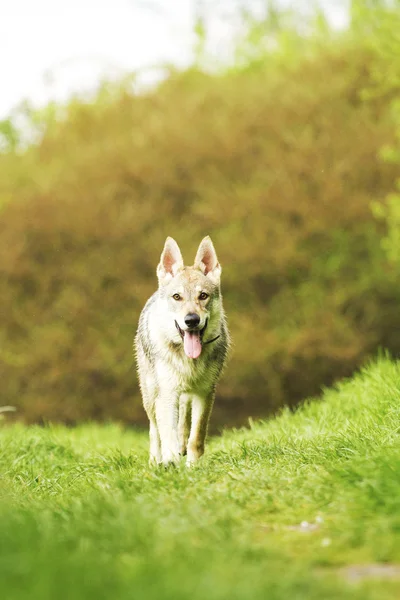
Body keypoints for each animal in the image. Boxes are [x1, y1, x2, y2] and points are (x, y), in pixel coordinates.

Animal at [134, 237, 230, 466]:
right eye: (177, 297)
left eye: (203, 296)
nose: (191, 320)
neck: (189, 360)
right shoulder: (167, 394)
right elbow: (166, 433)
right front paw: (170, 463)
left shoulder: (205, 392)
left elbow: (196, 437)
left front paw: (193, 466)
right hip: (150, 395)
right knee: (154, 430)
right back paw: (155, 461)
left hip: (185, 396)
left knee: (183, 424)